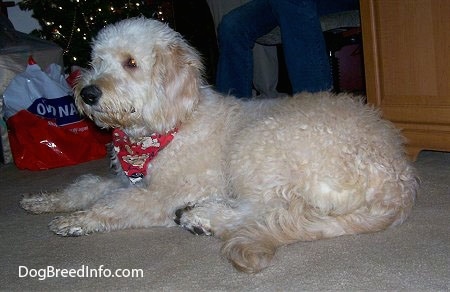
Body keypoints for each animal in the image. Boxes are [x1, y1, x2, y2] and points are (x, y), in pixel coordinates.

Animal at [20, 17, 418, 274]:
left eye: (130, 63)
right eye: (96, 60)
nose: (87, 94)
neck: (174, 123)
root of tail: (398, 182)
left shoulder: (167, 192)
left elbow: (116, 203)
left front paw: (76, 220)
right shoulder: (128, 179)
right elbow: (85, 186)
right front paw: (43, 201)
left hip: (259, 144)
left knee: (266, 210)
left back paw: (201, 217)